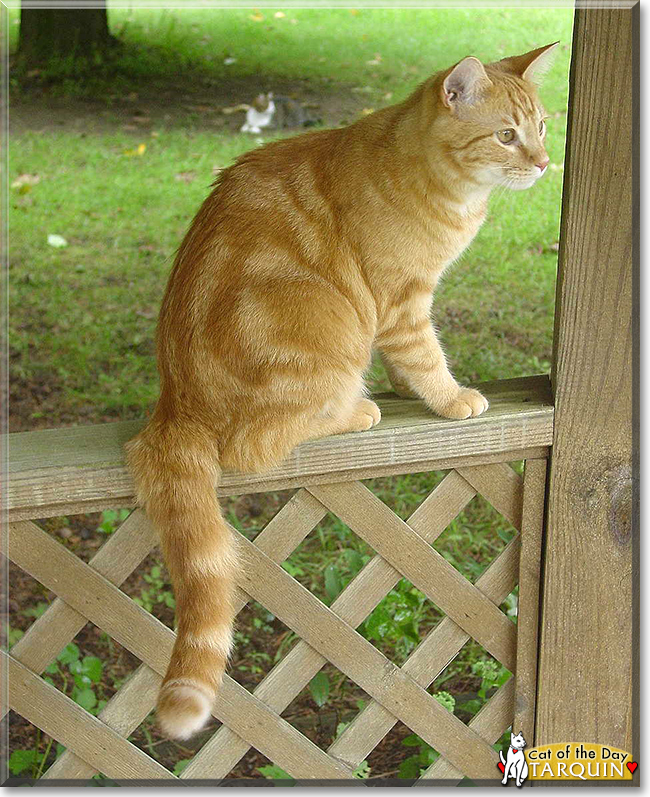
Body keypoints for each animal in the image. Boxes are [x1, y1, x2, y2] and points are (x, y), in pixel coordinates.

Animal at [125, 43, 556, 740]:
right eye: (506, 135)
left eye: (541, 127)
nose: (544, 162)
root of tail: (174, 401)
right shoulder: (401, 303)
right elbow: (427, 359)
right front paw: (450, 398)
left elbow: (412, 365)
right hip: (326, 336)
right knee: (257, 444)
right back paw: (357, 410)